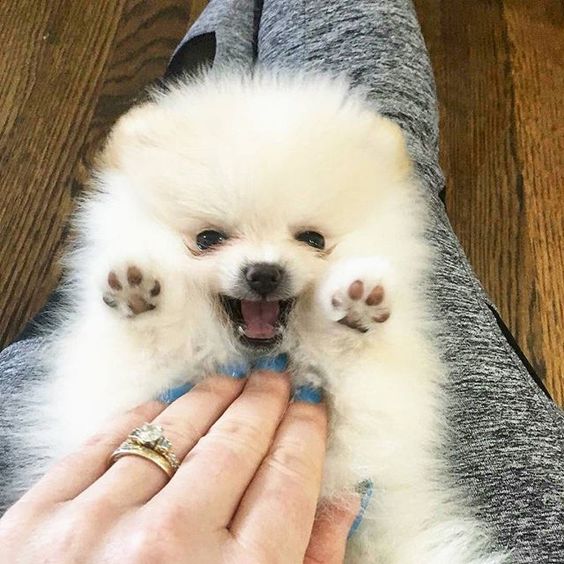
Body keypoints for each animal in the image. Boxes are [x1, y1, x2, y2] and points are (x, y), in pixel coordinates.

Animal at [9, 72, 502, 560]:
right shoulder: (134, 385)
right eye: (207, 238)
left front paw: (352, 311)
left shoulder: (369, 418)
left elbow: (348, 363)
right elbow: (158, 340)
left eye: (313, 239)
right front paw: (141, 293)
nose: (264, 273)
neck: (253, 356)